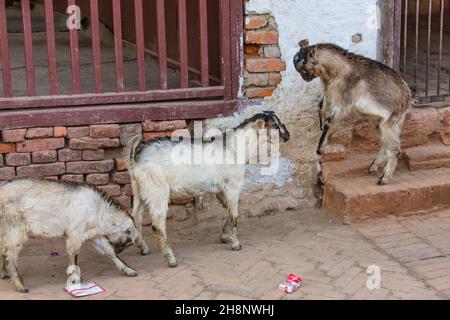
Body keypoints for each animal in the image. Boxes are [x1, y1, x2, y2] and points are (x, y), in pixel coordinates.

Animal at [0, 178, 141, 292]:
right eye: (129, 240)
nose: (120, 250)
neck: (100, 210)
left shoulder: (94, 234)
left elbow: (109, 251)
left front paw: (128, 270)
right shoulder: (75, 234)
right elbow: (74, 255)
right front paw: (75, 278)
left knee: (3, 250)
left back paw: (4, 274)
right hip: (14, 226)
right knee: (10, 254)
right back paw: (19, 285)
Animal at [125, 112, 292, 268]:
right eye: (275, 125)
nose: (287, 136)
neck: (234, 149)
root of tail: (136, 155)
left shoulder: (221, 190)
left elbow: (228, 210)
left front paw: (224, 236)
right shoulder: (233, 186)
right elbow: (235, 215)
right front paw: (235, 244)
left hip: (139, 188)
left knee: (137, 216)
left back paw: (144, 248)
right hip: (157, 190)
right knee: (157, 223)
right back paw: (171, 258)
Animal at [294, 40, 414, 185]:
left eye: (303, 68)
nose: (305, 78)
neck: (337, 69)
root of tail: (407, 96)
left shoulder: (342, 102)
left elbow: (330, 122)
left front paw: (320, 148)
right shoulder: (330, 94)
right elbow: (321, 105)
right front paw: (321, 125)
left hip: (390, 122)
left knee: (394, 149)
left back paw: (383, 178)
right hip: (383, 123)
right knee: (385, 146)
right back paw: (373, 167)